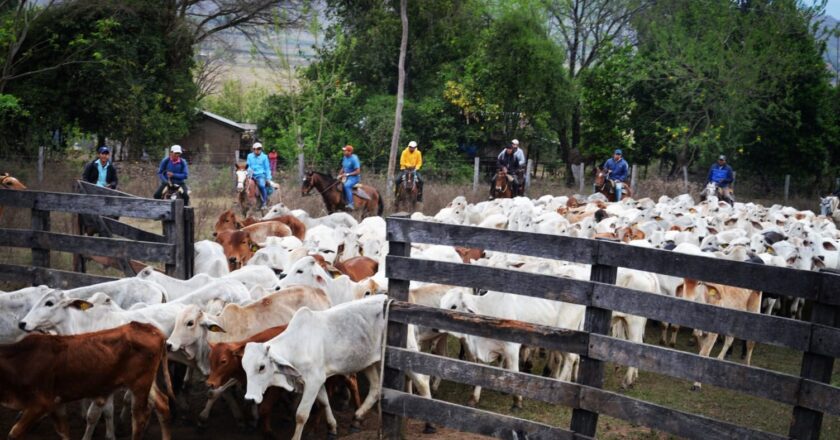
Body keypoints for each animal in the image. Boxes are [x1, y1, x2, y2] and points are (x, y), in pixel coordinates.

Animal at [0, 320, 174, 440]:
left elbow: (14, 433)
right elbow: (63, 431)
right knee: (162, 404)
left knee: (140, 418)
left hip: (139, 385)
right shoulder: (56, 403)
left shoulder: (41, 404)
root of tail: (152, 329)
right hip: (146, 382)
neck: (20, 360)